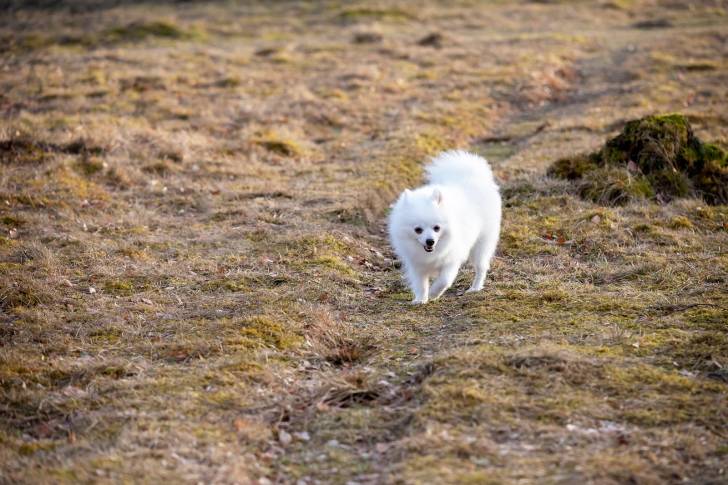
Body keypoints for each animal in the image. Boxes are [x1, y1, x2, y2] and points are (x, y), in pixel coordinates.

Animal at [388, 150, 501, 304]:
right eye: (418, 230)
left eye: (437, 228)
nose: (430, 241)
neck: (432, 252)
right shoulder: (417, 265)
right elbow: (420, 284)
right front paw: (421, 299)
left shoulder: (451, 261)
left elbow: (444, 281)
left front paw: (433, 294)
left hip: (482, 244)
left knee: (481, 268)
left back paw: (475, 288)